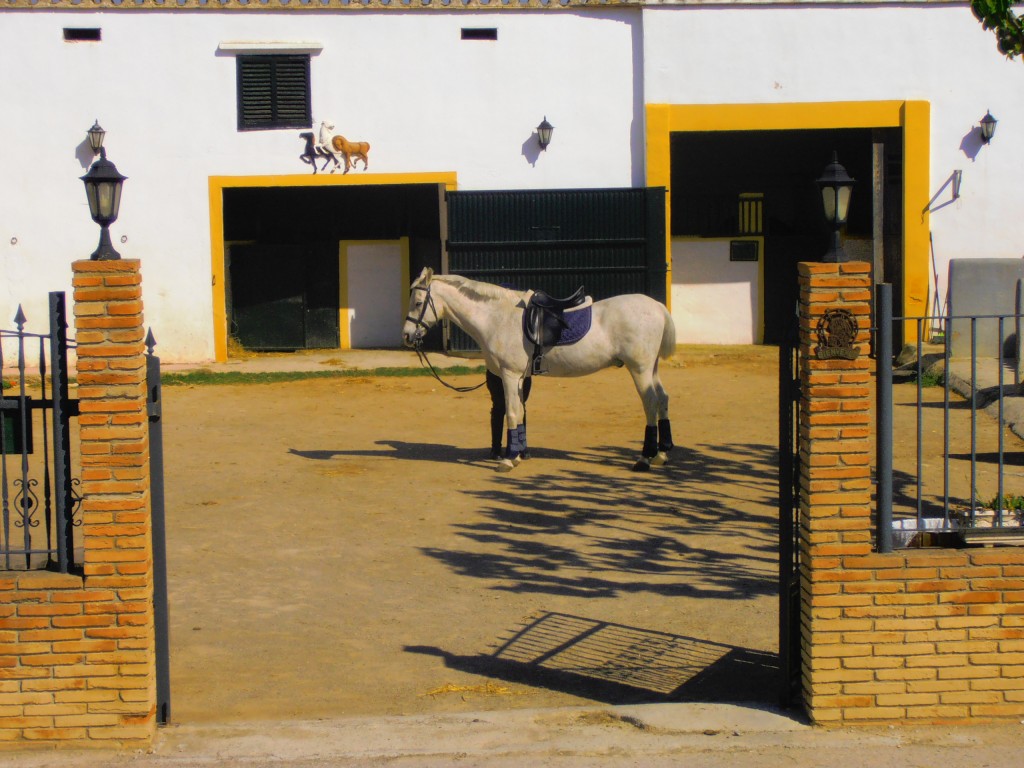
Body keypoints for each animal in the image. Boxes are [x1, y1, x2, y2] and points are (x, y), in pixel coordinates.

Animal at [401, 270, 679, 475]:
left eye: (418, 302)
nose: (406, 335)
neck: (498, 317)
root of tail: (656, 306)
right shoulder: (519, 377)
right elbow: (520, 412)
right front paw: (518, 454)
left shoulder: (510, 375)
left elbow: (512, 413)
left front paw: (508, 460)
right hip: (651, 368)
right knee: (663, 399)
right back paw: (662, 453)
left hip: (640, 369)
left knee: (650, 403)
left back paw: (644, 459)